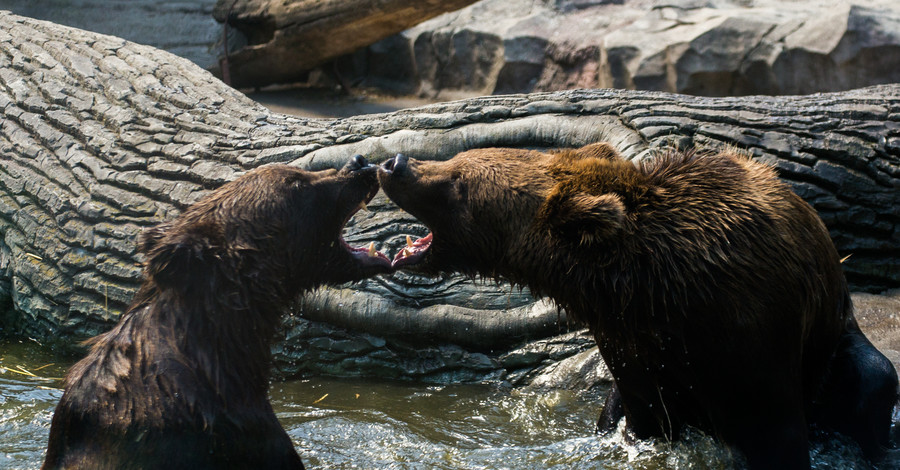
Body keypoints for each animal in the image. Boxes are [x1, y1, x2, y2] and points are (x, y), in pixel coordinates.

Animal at [378, 144, 900, 470]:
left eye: (458, 181)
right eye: (456, 159)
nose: (394, 162)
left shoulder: (754, 338)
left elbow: (779, 436)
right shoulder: (638, 353)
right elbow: (636, 420)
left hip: (837, 349)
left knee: (872, 382)